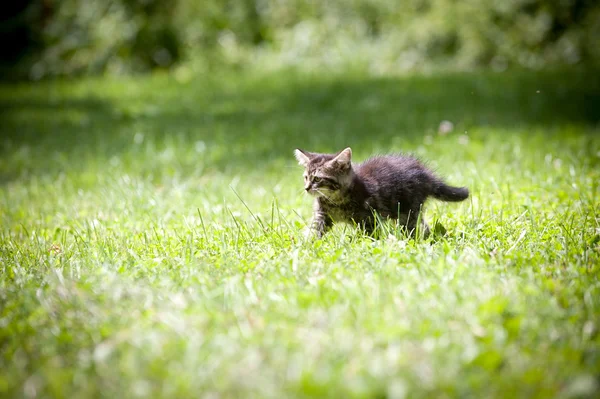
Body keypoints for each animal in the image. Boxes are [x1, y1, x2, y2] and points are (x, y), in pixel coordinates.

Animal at [296, 148, 468, 239]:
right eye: (306, 177)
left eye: (317, 178)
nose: (306, 188)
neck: (335, 200)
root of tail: (426, 175)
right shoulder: (322, 216)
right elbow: (314, 231)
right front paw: (308, 245)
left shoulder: (369, 219)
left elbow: (370, 236)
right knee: (423, 225)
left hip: (408, 210)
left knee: (413, 226)